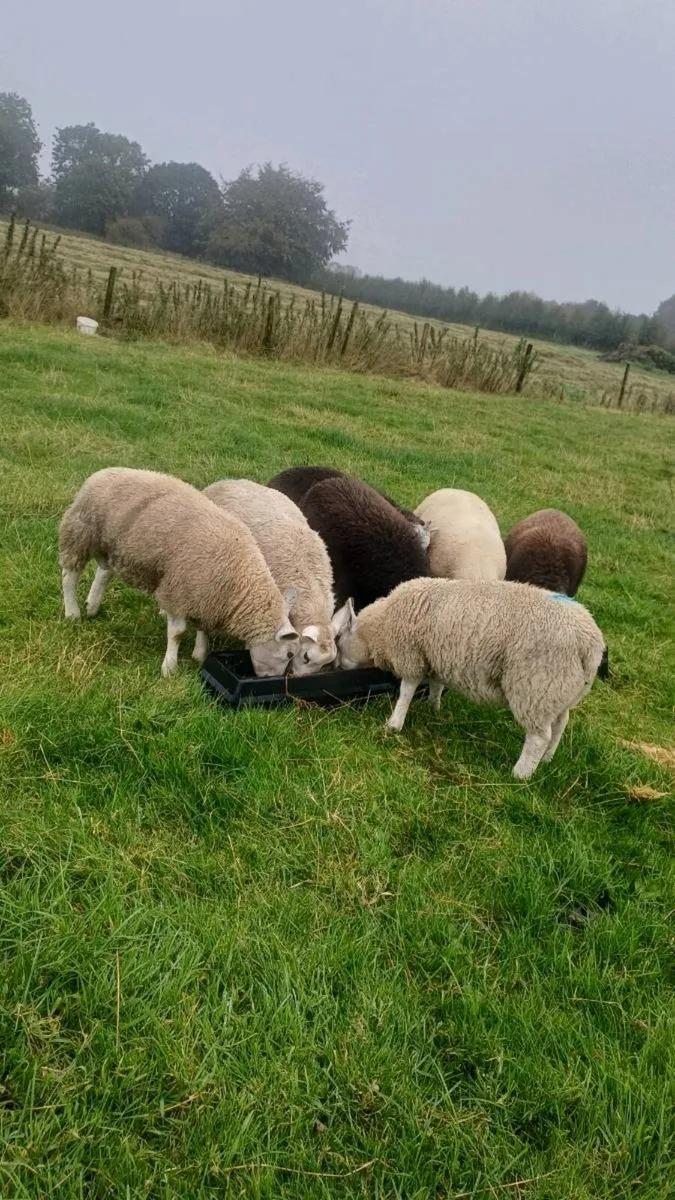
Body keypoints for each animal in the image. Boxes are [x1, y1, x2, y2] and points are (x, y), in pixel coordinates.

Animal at [59, 468, 299, 678]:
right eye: (289, 653)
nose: (274, 679)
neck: (240, 580)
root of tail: (103, 472)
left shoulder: (207, 598)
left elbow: (204, 629)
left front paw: (199, 654)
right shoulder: (178, 590)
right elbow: (177, 633)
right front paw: (169, 668)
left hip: (113, 546)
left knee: (104, 572)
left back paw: (92, 605)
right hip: (81, 530)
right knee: (69, 575)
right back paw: (72, 612)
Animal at [332, 577, 605, 778]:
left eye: (340, 640)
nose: (335, 667)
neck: (381, 625)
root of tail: (590, 643)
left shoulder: (410, 655)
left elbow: (406, 691)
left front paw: (394, 724)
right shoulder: (436, 657)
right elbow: (436, 685)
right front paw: (434, 708)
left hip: (537, 685)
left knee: (539, 737)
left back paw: (520, 774)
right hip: (561, 690)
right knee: (560, 724)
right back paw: (547, 760)